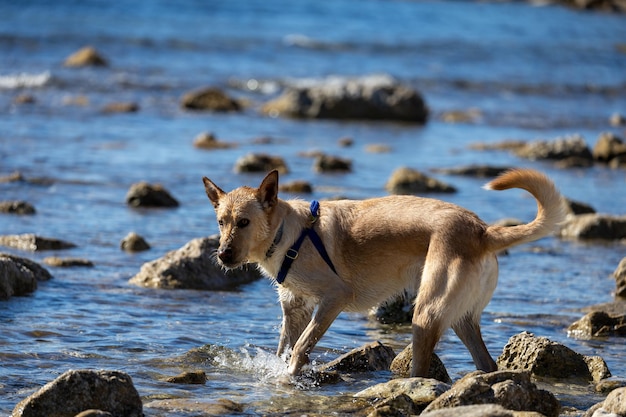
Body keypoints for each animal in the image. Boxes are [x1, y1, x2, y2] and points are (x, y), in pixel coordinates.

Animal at [202, 168, 564, 376]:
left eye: (244, 222)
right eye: (221, 222)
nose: (222, 255)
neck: (287, 235)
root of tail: (483, 231)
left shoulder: (334, 298)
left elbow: (302, 346)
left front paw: (290, 375)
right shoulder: (295, 309)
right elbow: (284, 347)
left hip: (426, 314)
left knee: (424, 371)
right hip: (460, 317)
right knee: (486, 364)